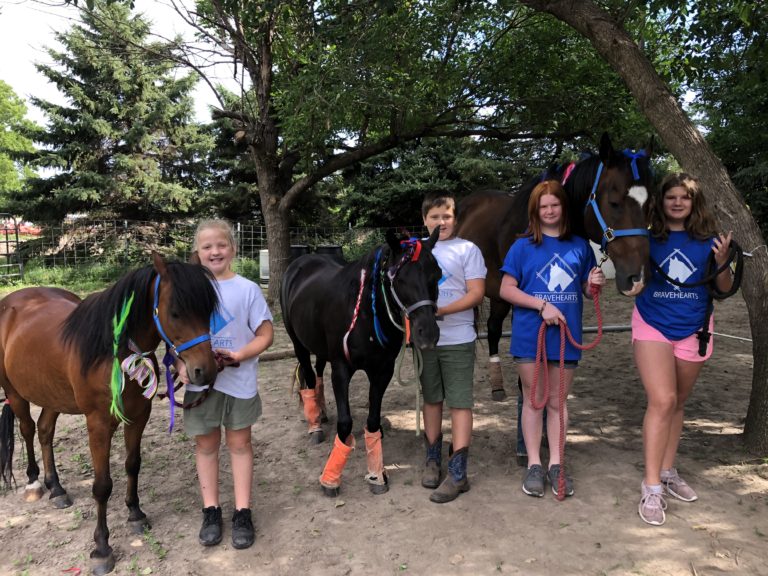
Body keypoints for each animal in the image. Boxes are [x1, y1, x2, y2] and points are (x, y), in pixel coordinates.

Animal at [0, 254, 219, 572]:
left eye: (208, 311)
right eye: (176, 313)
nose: (206, 371)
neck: (113, 352)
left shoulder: (138, 417)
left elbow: (132, 465)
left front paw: (136, 513)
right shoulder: (99, 425)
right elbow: (102, 486)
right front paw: (102, 548)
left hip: (52, 395)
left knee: (45, 431)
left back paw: (57, 489)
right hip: (15, 392)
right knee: (28, 430)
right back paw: (34, 483)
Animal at [282, 227, 440, 498]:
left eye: (437, 274)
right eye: (399, 279)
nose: (427, 334)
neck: (367, 312)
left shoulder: (383, 370)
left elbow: (373, 421)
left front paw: (376, 475)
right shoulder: (341, 369)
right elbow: (345, 423)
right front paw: (330, 479)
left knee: (318, 371)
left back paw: (322, 412)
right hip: (298, 344)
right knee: (309, 377)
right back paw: (315, 425)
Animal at [456, 134, 656, 408]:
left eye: (649, 205)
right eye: (614, 203)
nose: (637, 279)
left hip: (498, 293)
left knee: (494, 328)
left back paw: (497, 386)